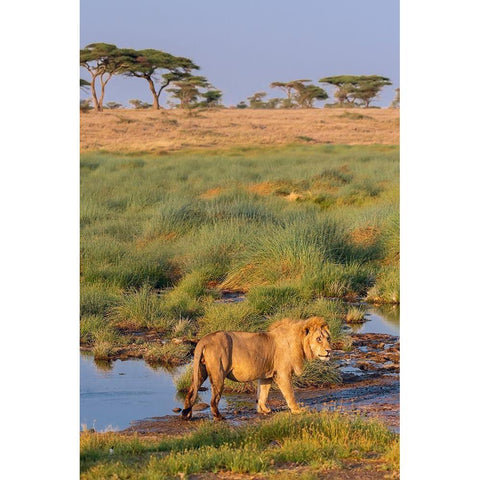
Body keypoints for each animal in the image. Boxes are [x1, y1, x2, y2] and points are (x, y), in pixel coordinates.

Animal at [182, 316, 332, 422]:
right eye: (318, 339)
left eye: (328, 338)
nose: (329, 351)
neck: (299, 342)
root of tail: (204, 340)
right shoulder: (283, 373)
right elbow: (290, 393)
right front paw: (297, 410)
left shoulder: (266, 375)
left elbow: (263, 393)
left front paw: (263, 410)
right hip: (218, 374)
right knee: (213, 400)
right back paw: (219, 417)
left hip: (200, 371)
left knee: (190, 392)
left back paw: (187, 414)